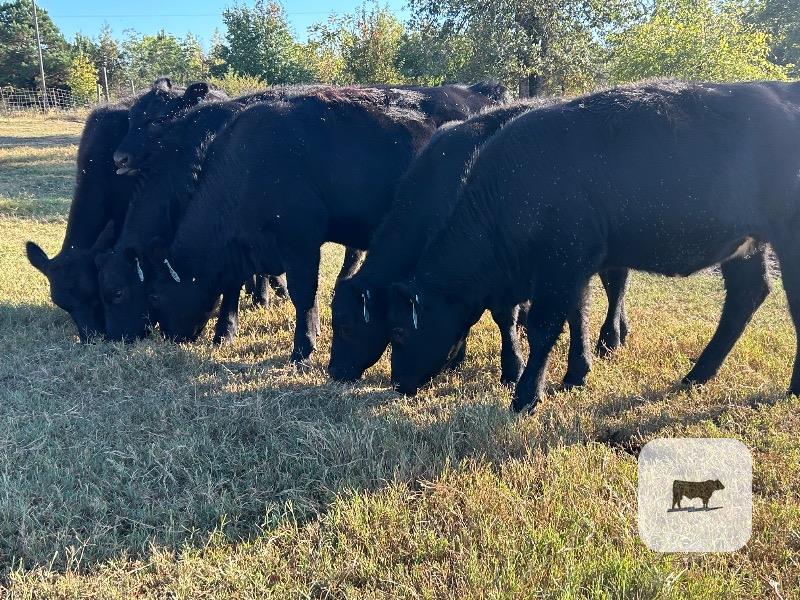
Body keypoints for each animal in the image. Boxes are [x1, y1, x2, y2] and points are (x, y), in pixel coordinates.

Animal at [144, 83, 505, 359]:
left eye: (156, 296)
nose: (167, 337)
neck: (249, 160)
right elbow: (233, 287)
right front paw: (224, 334)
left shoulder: (300, 242)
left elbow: (303, 294)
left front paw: (303, 348)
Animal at [329, 99, 631, 385]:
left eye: (345, 326)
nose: (334, 371)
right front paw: (456, 357)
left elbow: (505, 316)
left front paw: (512, 368)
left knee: (616, 284)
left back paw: (610, 339)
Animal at [386, 80, 796, 412]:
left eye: (400, 332)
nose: (398, 383)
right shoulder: (575, 267)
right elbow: (578, 316)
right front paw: (576, 374)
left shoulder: (559, 265)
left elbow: (544, 327)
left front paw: (525, 396)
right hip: (747, 247)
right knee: (746, 296)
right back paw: (697, 374)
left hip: (787, 238)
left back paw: (790, 387)